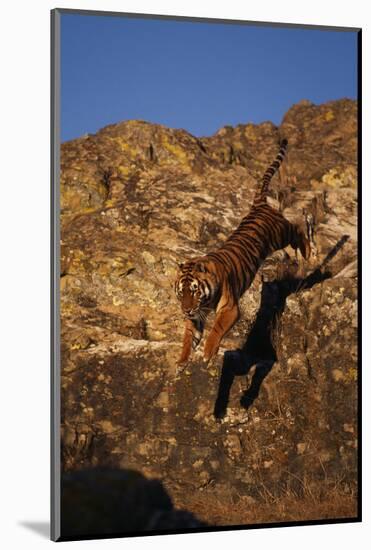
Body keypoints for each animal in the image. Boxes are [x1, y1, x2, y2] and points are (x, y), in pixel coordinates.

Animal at [175, 140, 310, 368]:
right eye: (181, 292)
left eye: (194, 290)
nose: (186, 310)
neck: (204, 301)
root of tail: (259, 204)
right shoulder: (196, 316)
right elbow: (187, 337)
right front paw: (182, 360)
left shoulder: (229, 308)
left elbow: (216, 329)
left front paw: (208, 353)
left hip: (280, 234)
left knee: (297, 228)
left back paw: (308, 250)